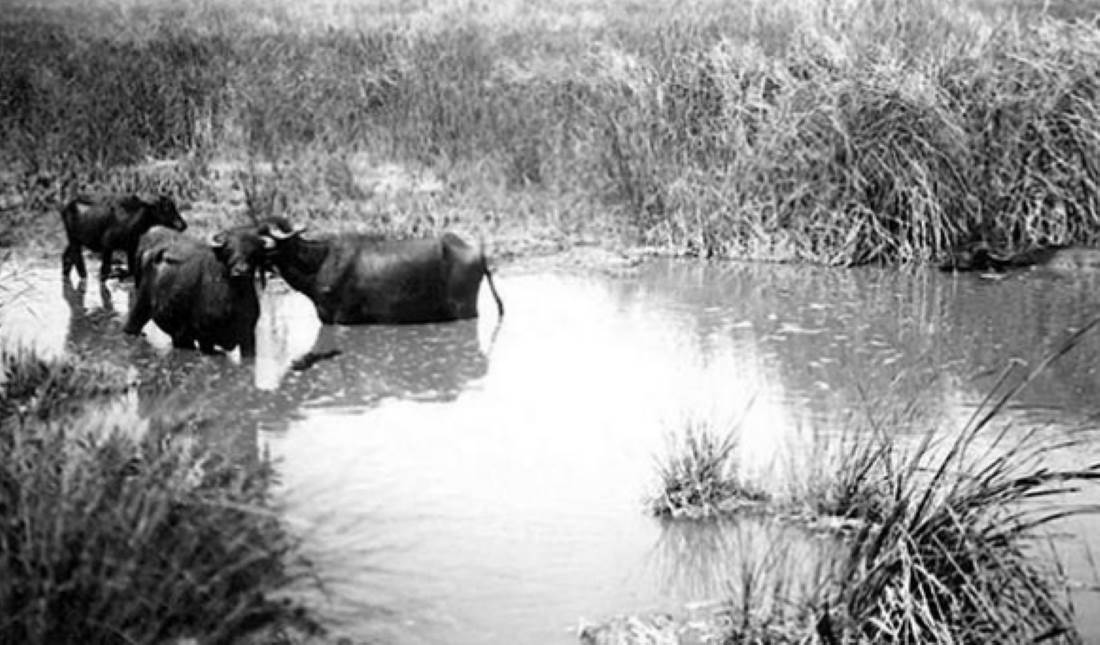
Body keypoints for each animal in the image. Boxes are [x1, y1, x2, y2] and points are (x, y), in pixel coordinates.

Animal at [60, 192, 188, 279]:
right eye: (166, 207)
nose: (183, 224)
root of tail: (66, 207)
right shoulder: (107, 246)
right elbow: (105, 272)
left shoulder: (131, 248)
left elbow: (131, 270)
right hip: (74, 241)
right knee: (79, 264)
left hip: (74, 240)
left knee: (66, 258)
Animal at [124, 223, 275, 356]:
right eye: (229, 250)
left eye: (254, 252)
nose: (241, 272)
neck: (234, 299)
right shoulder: (206, 338)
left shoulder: (248, 336)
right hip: (140, 305)